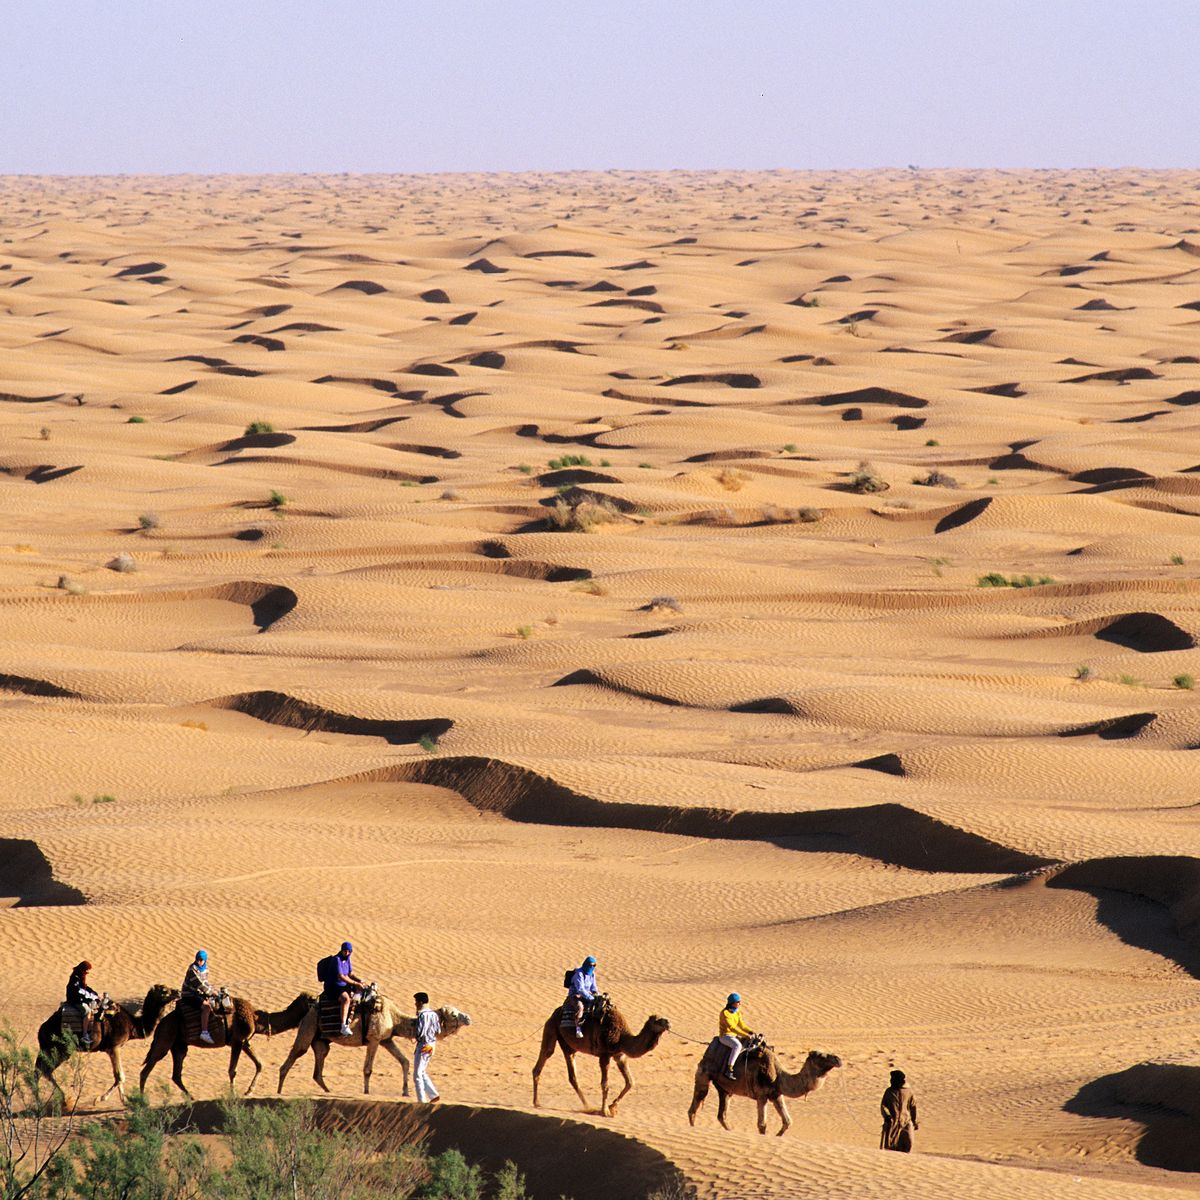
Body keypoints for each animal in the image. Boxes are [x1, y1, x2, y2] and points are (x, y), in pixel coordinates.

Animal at [37, 984, 175, 1104]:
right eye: (164, 991)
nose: (177, 992)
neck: (132, 1024)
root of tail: (41, 1029)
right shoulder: (114, 1047)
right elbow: (120, 1076)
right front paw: (99, 1099)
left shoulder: (113, 1048)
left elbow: (118, 1076)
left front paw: (124, 1101)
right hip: (61, 1049)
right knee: (44, 1070)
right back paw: (59, 1099)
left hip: (50, 1049)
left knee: (40, 1069)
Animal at [137, 988, 314, 1099]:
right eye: (312, 1000)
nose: (318, 1001)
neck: (255, 1017)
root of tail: (160, 1023)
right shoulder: (237, 1041)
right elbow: (232, 1070)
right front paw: (233, 1094)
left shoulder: (245, 1042)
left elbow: (260, 1064)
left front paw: (249, 1091)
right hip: (165, 1039)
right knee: (147, 1068)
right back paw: (141, 1100)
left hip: (179, 1045)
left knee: (176, 1074)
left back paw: (191, 1096)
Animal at [277, 993, 472, 1099]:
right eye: (454, 1014)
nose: (469, 1018)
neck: (394, 1018)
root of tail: (310, 1008)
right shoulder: (374, 1039)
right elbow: (368, 1069)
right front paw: (366, 1092)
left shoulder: (387, 1040)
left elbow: (405, 1061)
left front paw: (405, 1092)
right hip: (308, 1027)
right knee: (294, 1055)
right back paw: (278, 1092)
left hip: (321, 1040)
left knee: (318, 1067)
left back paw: (327, 1091)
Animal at [532, 993, 672, 1113]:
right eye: (658, 1020)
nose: (669, 1023)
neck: (622, 1037)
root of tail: (554, 1013)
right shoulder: (604, 1055)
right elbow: (605, 1084)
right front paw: (605, 1111)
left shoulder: (619, 1055)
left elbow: (630, 1082)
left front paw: (612, 1106)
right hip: (551, 1028)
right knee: (545, 1056)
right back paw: (537, 1102)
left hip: (568, 1045)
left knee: (572, 1076)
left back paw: (587, 1105)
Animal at [686, 1041, 844, 1132]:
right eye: (820, 1056)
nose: (838, 1059)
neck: (778, 1075)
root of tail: (708, 1049)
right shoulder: (761, 1095)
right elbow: (762, 1124)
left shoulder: (776, 1094)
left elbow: (787, 1122)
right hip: (704, 1073)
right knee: (696, 1103)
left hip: (725, 1089)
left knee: (722, 1114)